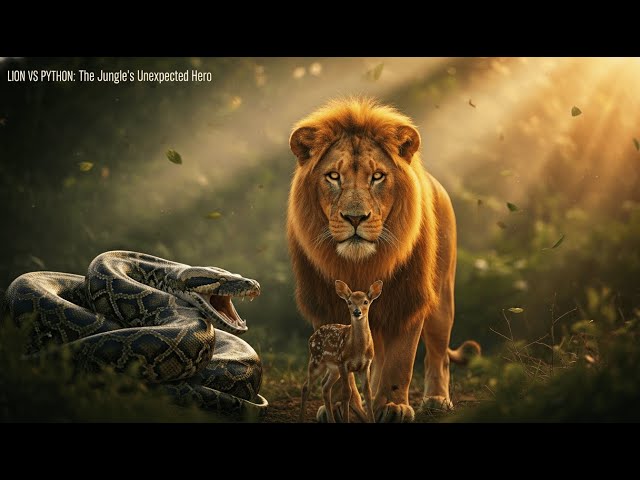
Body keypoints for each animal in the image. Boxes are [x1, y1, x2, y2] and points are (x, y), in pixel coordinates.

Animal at [287, 97, 480, 422]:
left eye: (377, 176)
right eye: (333, 176)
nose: (355, 218)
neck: (361, 265)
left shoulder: (407, 298)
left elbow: (401, 360)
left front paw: (393, 406)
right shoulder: (324, 304)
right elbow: (344, 370)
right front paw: (345, 407)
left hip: (442, 299)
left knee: (438, 355)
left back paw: (436, 399)